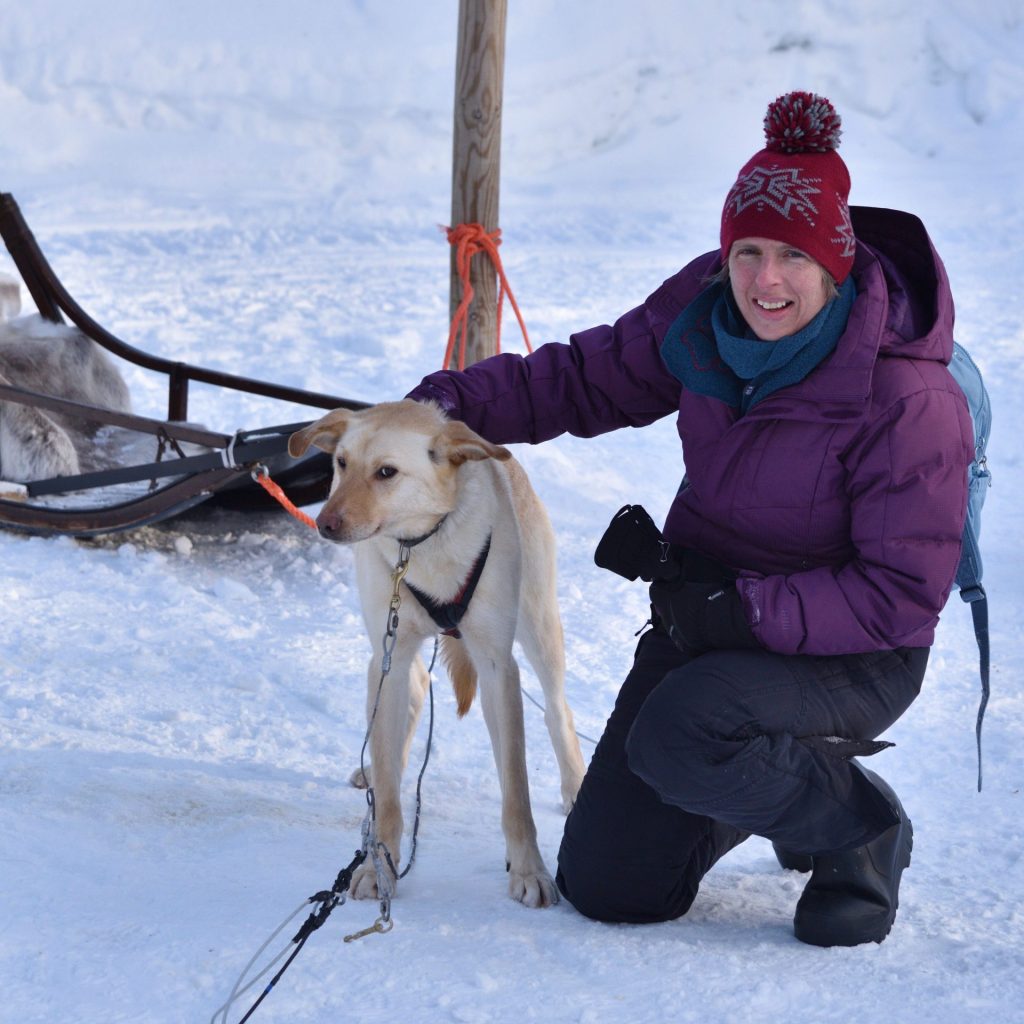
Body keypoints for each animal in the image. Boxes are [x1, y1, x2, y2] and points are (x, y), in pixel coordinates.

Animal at [288, 399, 587, 907]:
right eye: (341, 463)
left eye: (386, 472)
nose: (326, 523)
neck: (422, 544)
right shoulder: (389, 651)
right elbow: (389, 797)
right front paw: (378, 864)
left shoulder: (497, 666)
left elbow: (516, 793)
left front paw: (530, 871)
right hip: (392, 652)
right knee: (410, 696)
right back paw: (378, 767)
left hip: (539, 625)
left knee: (557, 709)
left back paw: (574, 783)